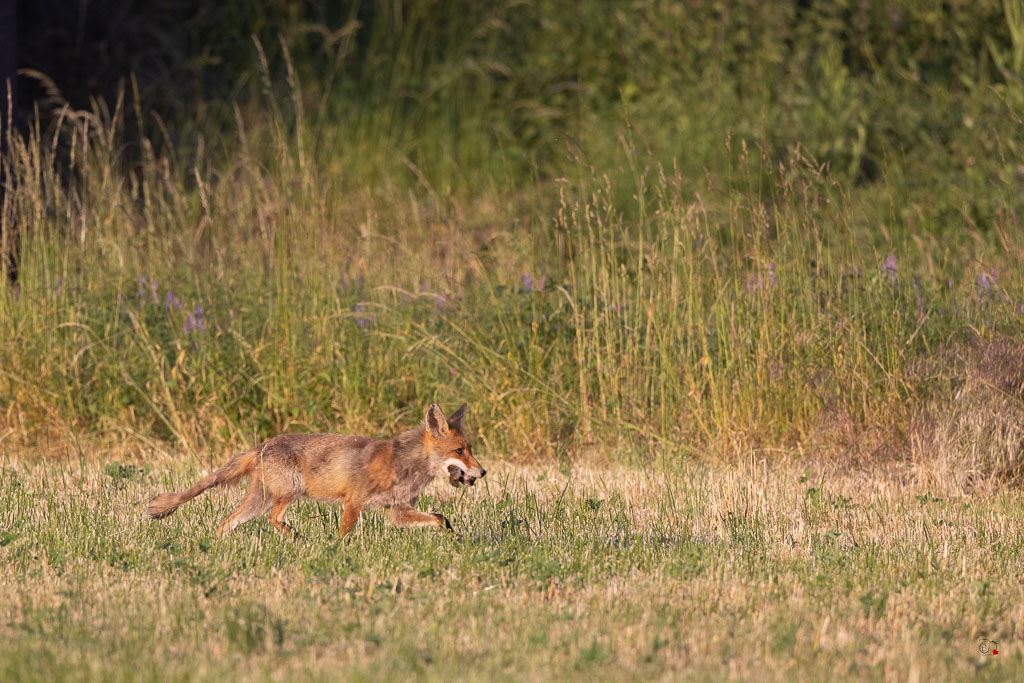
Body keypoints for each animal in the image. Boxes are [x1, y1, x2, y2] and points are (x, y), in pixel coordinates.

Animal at [145, 403, 485, 537]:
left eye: (470, 448)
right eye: (459, 451)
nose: (481, 473)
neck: (404, 466)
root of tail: (264, 443)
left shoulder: (398, 512)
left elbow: (440, 519)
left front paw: (455, 538)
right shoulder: (353, 501)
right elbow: (344, 534)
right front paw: (338, 552)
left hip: (258, 501)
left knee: (225, 523)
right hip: (287, 493)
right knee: (273, 519)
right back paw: (295, 536)